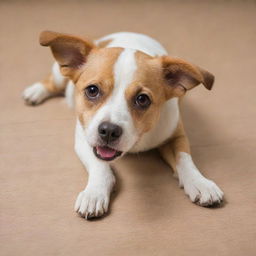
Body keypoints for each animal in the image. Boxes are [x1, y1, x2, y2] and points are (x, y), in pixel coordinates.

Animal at [23, 31, 224, 219]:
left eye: (142, 99)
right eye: (92, 90)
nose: (109, 131)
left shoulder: (176, 135)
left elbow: (185, 158)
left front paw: (199, 182)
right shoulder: (84, 140)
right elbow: (100, 166)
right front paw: (95, 192)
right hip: (59, 76)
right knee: (51, 82)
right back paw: (35, 91)